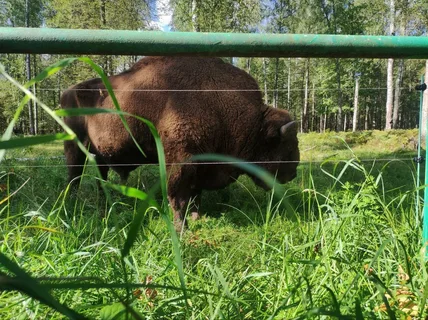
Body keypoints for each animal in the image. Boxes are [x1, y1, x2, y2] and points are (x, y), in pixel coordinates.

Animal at [61, 57, 300, 230]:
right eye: (286, 146)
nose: (293, 172)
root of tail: (67, 91)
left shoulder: (201, 166)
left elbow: (195, 194)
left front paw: (196, 217)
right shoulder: (181, 161)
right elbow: (178, 195)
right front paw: (180, 227)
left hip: (98, 153)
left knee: (99, 177)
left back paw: (106, 201)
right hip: (74, 146)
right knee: (74, 175)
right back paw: (72, 202)